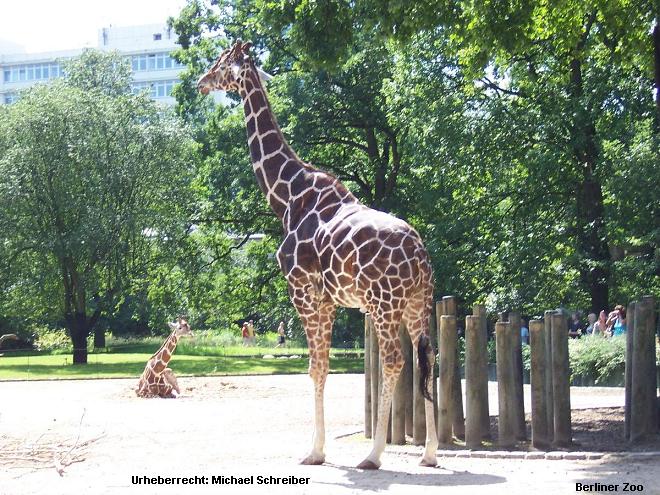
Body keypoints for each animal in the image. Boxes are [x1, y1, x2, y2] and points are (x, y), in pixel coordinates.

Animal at [197, 41, 438, 468]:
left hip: (384, 304)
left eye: (222, 63)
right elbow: (321, 367)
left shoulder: (304, 293)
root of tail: (422, 257)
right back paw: (429, 454)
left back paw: (373, 454)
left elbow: (315, 368)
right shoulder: (328, 300)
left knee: (395, 361)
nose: (200, 82)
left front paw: (314, 451)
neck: (286, 197)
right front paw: (318, 447)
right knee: (428, 357)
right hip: (416, 304)